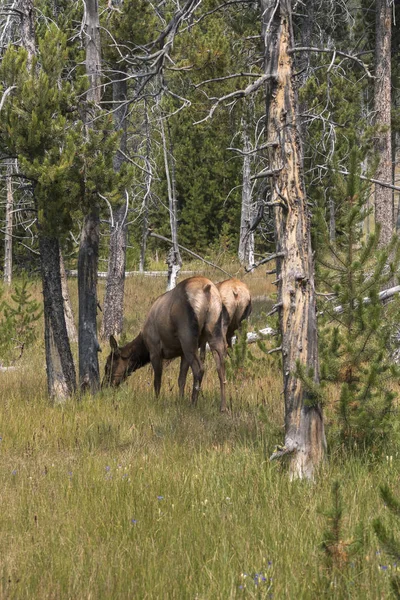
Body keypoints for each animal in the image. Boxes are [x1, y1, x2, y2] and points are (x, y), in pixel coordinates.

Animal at [102, 276, 228, 412]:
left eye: (108, 365)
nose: (104, 385)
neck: (144, 344)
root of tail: (207, 289)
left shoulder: (155, 350)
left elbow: (157, 380)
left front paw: (157, 401)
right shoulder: (181, 353)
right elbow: (181, 379)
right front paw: (180, 400)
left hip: (188, 336)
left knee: (199, 368)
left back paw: (193, 404)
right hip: (215, 331)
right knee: (221, 368)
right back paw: (223, 407)